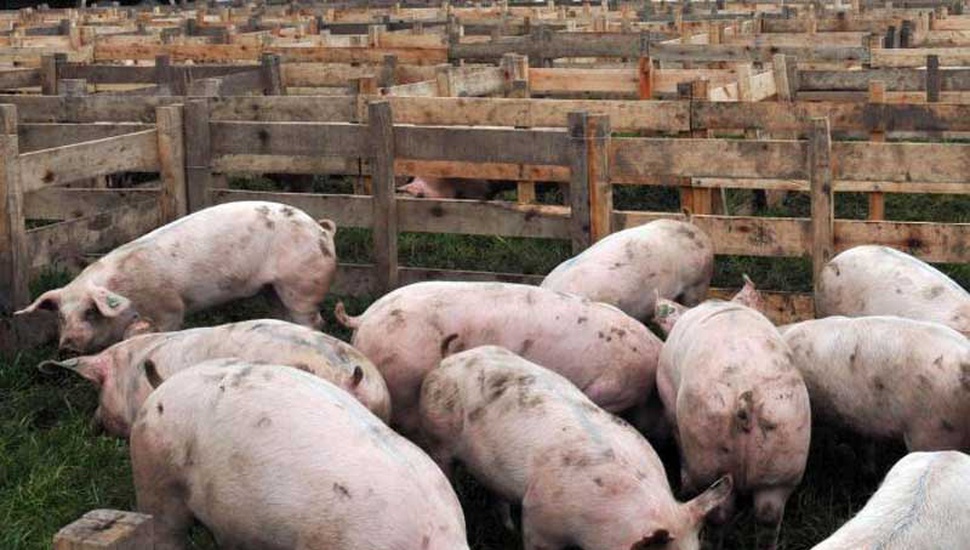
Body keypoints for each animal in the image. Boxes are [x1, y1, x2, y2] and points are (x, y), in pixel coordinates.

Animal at [14, 201, 337, 353]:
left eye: (91, 311)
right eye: (60, 317)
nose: (66, 346)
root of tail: (321, 230)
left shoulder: (169, 307)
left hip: (301, 284)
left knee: (314, 321)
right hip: (272, 289)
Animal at [656, 300, 811, 549]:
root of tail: (743, 395)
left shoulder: (669, 403)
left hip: (708, 450)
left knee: (720, 513)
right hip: (785, 447)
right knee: (768, 516)